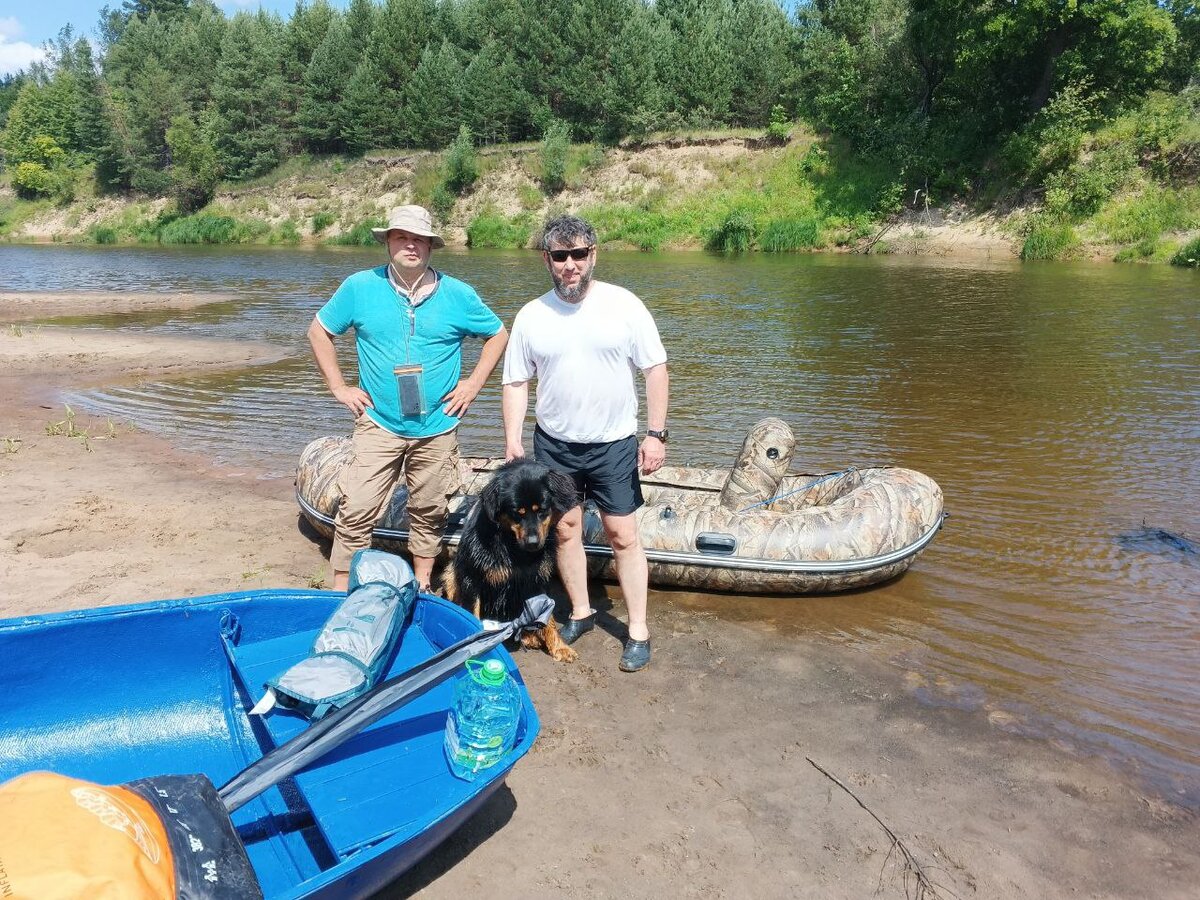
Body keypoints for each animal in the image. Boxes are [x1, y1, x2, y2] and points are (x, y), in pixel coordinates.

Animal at [446, 458, 585, 662]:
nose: (533, 543)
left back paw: (528, 636)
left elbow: (548, 616)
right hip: (451, 573)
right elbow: (472, 614)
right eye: (516, 512)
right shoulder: (472, 579)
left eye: (542, 510)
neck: (513, 546)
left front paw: (559, 647)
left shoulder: (536, 579)